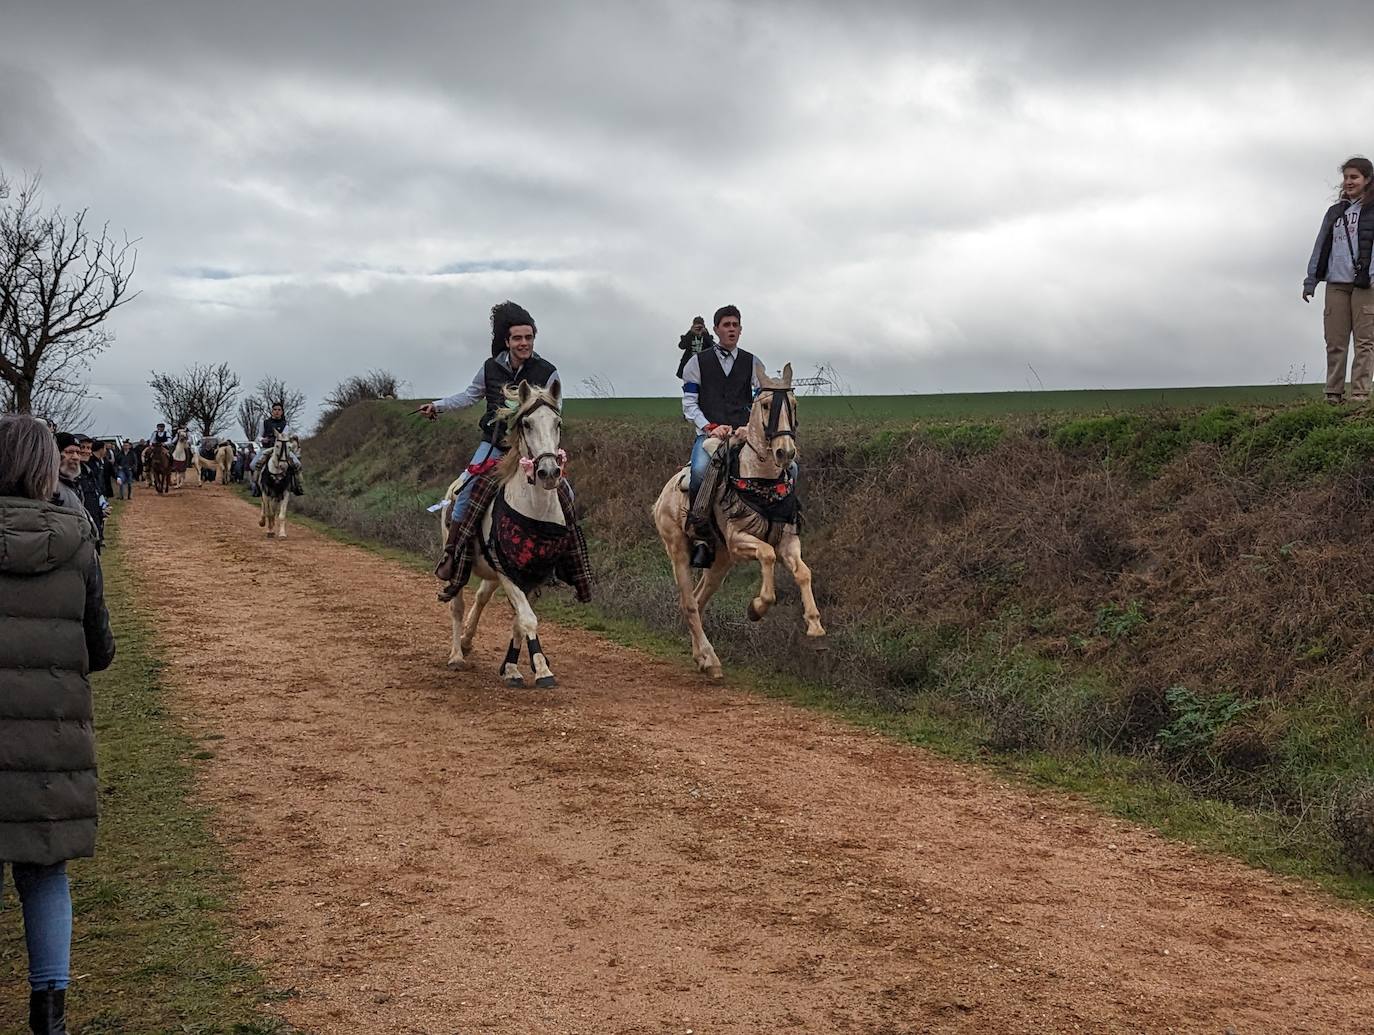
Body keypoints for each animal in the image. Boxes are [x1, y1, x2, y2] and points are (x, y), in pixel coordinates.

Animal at [439, 379, 568, 687]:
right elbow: (527, 618)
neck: (534, 510)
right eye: (527, 423)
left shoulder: (531, 574)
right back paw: (456, 655)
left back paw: (468, 641)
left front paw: (513, 668)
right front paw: (541, 671)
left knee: (481, 596)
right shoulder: (509, 573)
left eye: (557, 423)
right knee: (457, 605)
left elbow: (519, 621)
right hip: (459, 563)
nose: (548, 472)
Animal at [654, 362, 824, 679]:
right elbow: (767, 555)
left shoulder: (787, 541)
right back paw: (710, 660)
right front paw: (757, 607)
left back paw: (703, 658)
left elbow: (804, 572)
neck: (761, 481)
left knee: (698, 600)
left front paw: (816, 627)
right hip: (679, 550)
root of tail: (663, 496)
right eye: (767, 404)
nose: (785, 452)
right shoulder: (738, 540)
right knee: (688, 604)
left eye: (793, 404)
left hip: (720, 560)